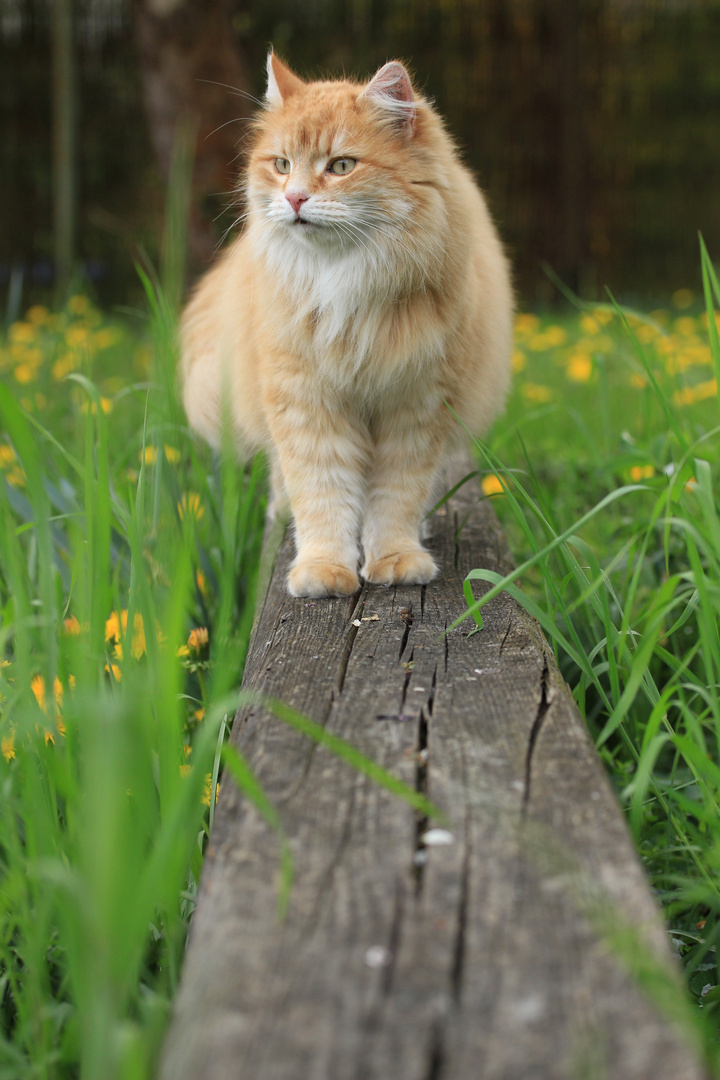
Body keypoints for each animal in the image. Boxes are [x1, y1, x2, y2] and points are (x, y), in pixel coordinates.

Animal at [183, 50, 515, 600]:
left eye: (341, 166)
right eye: (282, 165)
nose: (294, 199)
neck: (345, 285)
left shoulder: (416, 406)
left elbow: (395, 499)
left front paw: (396, 560)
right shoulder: (306, 401)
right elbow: (322, 495)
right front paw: (324, 571)